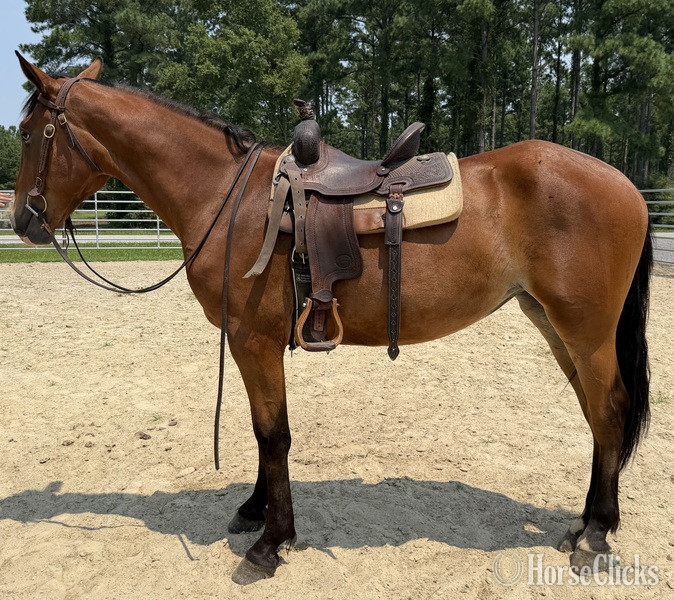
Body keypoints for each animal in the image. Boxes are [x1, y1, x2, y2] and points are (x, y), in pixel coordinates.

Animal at [9, 55, 652, 585]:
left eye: (27, 133)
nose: (22, 221)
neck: (226, 197)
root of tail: (628, 186)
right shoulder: (254, 344)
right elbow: (265, 431)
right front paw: (255, 511)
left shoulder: (252, 341)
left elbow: (272, 434)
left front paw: (270, 543)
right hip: (554, 325)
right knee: (596, 416)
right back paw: (583, 524)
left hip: (586, 331)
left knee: (609, 410)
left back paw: (597, 535)